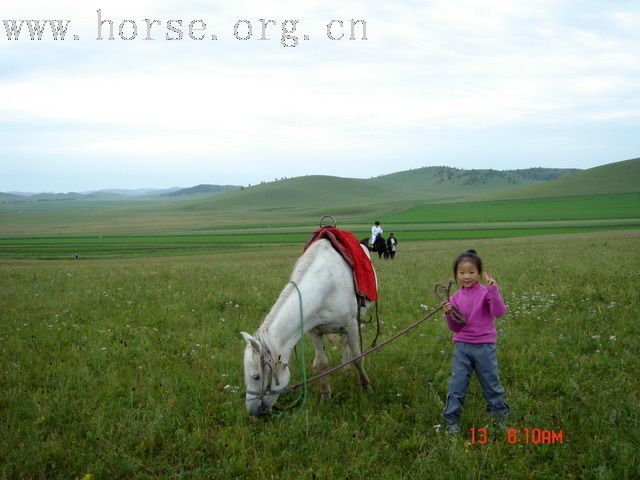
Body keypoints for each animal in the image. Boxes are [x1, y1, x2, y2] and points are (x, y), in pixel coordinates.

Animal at [242, 240, 378, 416]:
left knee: (346, 343)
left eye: (256, 376)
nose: (253, 412)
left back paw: (347, 369)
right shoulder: (314, 331)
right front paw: (325, 395)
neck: (326, 285)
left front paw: (366, 388)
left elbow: (358, 358)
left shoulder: (351, 325)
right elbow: (322, 363)